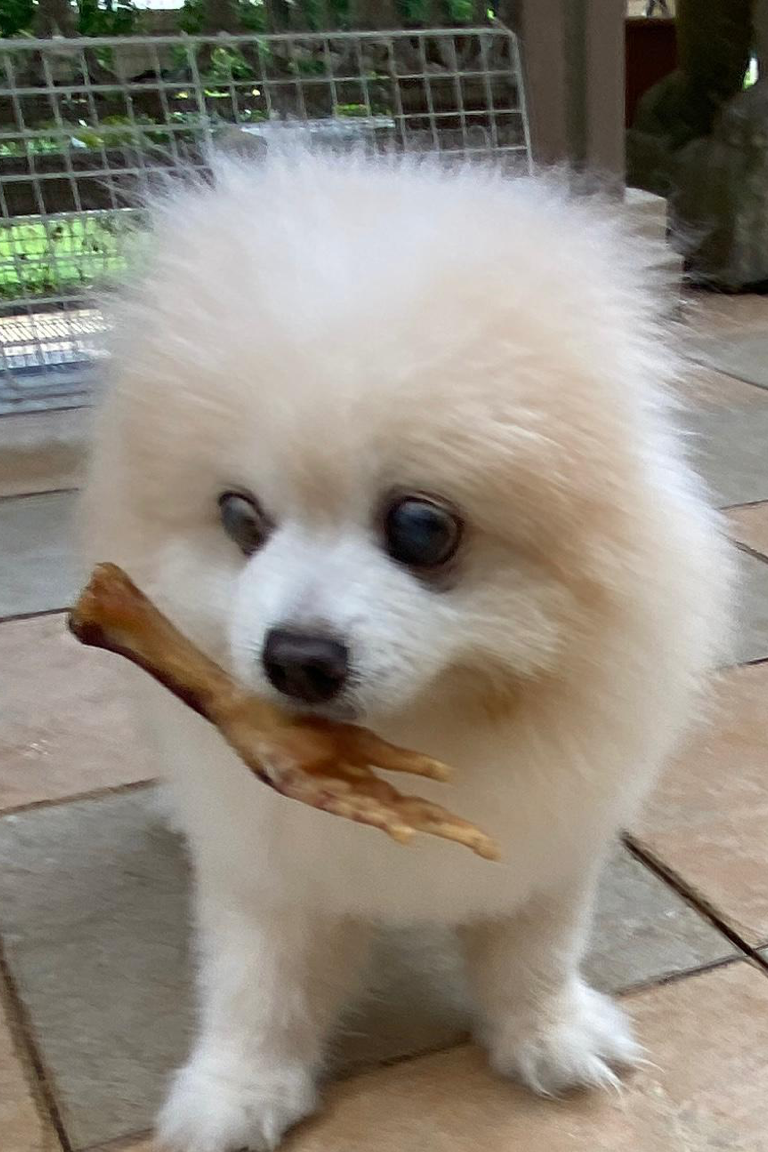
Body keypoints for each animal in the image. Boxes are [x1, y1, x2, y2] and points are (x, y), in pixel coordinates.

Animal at [84, 146, 732, 1152]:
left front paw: (548, 1035)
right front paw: (235, 1091)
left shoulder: (551, 825)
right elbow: (258, 980)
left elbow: (535, 946)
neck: (425, 732)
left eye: (422, 528)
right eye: (239, 519)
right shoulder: (267, 859)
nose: (296, 656)